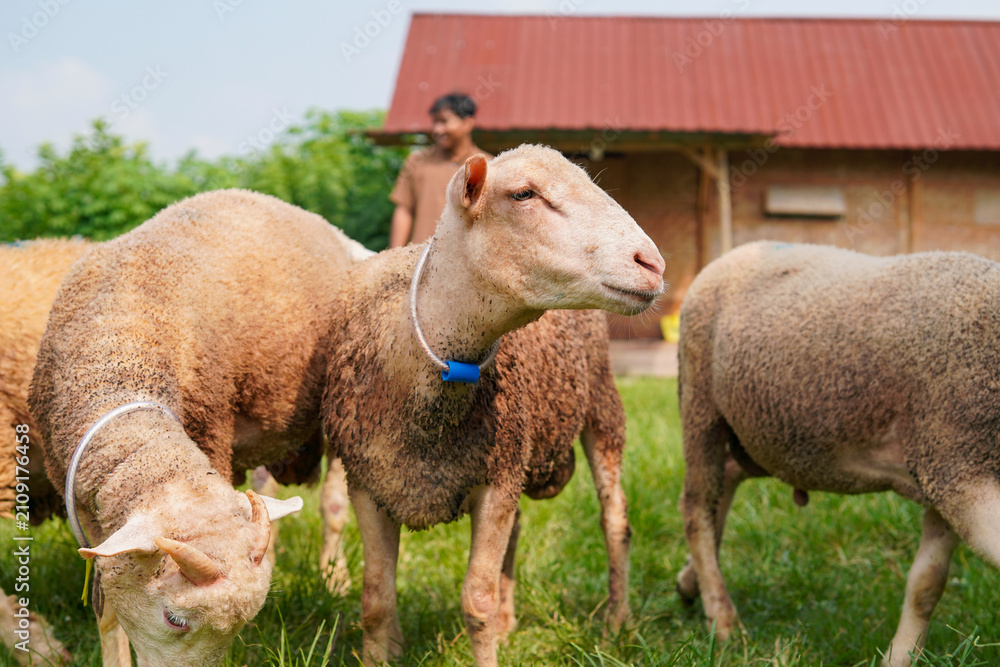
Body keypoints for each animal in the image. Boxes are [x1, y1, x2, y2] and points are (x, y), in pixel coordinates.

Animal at [322, 145, 666, 666]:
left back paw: (616, 625)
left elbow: (475, 602)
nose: (653, 263)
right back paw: (511, 620)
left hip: (601, 408)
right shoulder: (367, 481)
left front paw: (488, 629)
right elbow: (376, 599)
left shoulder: (496, 481)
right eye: (523, 194)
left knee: (616, 524)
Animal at [676, 240, 1000, 667]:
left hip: (762, 431)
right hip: (701, 403)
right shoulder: (956, 465)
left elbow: (926, 584)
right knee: (697, 507)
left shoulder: (944, 469)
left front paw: (900, 656)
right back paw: (723, 618)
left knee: (725, 481)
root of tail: (735, 253)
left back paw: (690, 583)